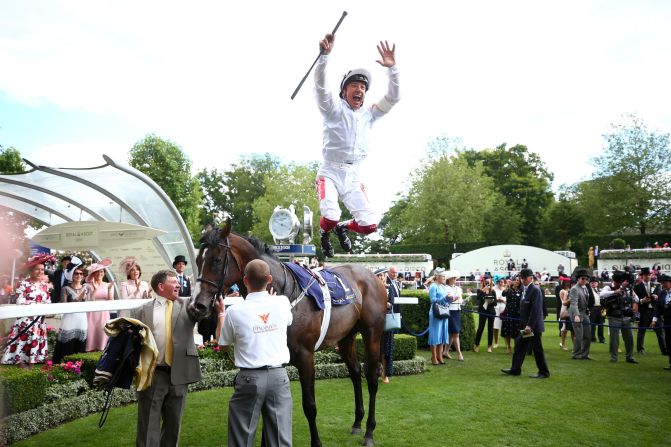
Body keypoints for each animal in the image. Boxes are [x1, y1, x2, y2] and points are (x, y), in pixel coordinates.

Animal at [190, 222, 388, 446]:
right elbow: (268, 407)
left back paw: (369, 431)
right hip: (346, 337)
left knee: (371, 378)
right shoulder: (276, 357)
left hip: (372, 334)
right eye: (198, 260)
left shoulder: (305, 356)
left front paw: (316, 442)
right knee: (355, 372)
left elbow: (309, 406)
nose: (198, 305)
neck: (284, 294)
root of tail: (372, 276)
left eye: (216, 260)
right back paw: (357, 422)